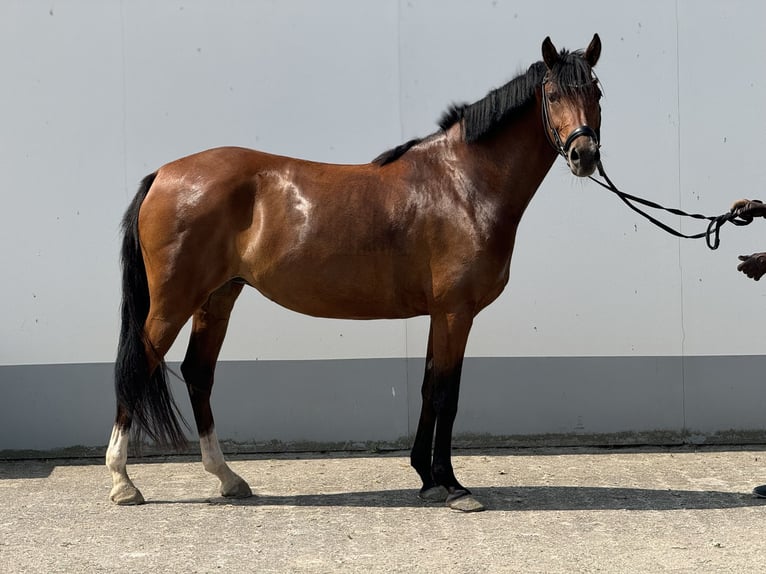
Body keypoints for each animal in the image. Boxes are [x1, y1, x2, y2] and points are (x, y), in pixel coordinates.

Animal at [106, 35, 608, 512]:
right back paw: (123, 482)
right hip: (173, 302)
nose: (584, 155)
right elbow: (447, 394)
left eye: (597, 91)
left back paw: (228, 478)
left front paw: (427, 479)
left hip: (218, 297)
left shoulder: (439, 314)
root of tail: (163, 173)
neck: (462, 184)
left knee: (198, 373)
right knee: (137, 367)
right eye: (553, 93)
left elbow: (428, 388)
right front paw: (452, 487)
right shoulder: (456, 312)